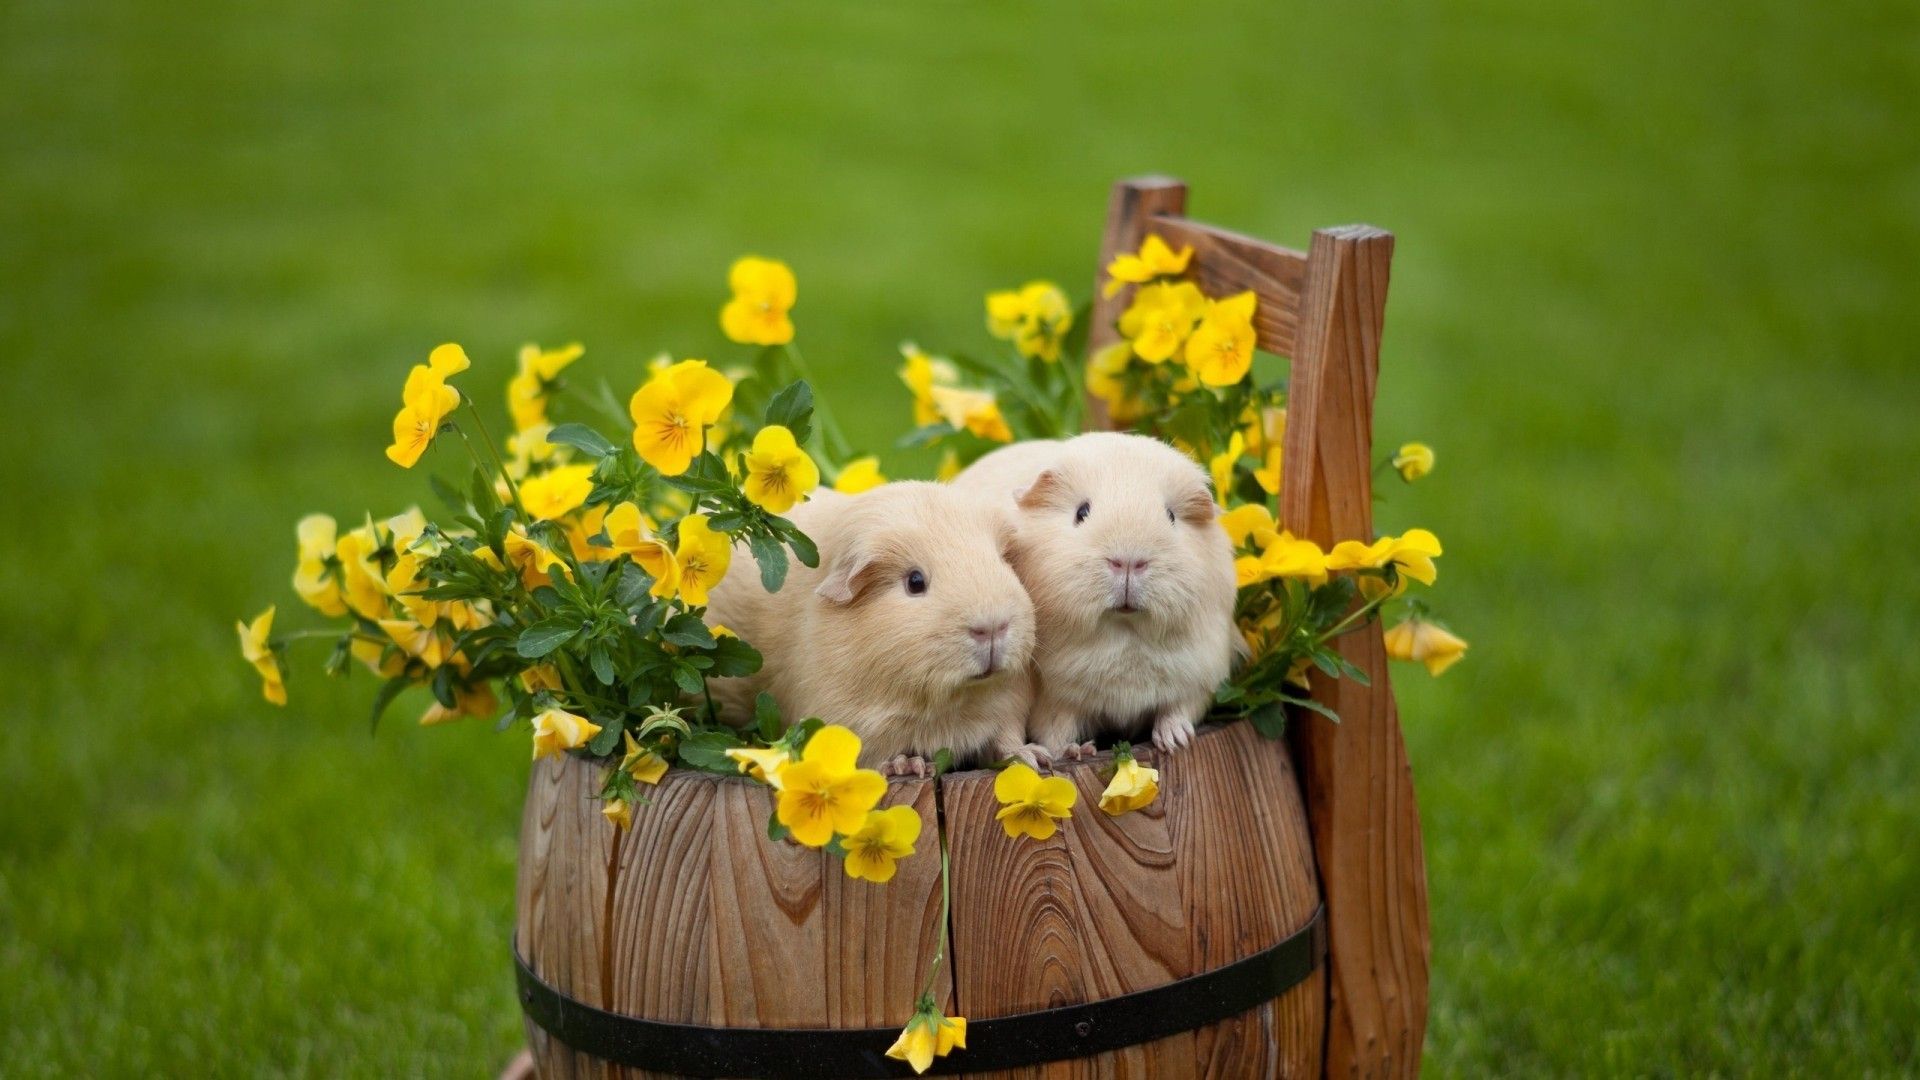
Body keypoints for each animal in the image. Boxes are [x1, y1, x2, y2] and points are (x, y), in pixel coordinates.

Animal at [701, 482, 1047, 773]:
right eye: (915, 582)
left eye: (1002, 563)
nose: (992, 628)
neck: (953, 707)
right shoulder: (855, 724)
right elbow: (879, 754)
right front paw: (908, 766)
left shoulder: (1008, 705)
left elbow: (1006, 740)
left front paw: (1034, 759)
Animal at [951, 432, 1238, 758]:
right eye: (1082, 512)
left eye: (1171, 516)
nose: (1128, 562)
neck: (1125, 636)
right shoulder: (1056, 700)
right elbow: (1056, 732)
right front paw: (1074, 752)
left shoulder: (1199, 674)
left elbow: (1177, 710)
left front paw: (1175, 741)